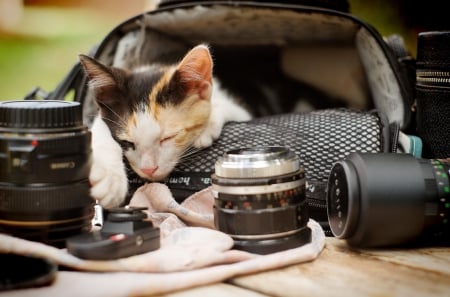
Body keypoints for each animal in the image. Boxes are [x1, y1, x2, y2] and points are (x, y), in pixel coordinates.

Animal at [79, 44, 251, 207]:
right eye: (126, 142)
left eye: (168, 137)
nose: (148, 169)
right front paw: (109, 178)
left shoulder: (241, 111)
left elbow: (224, 106)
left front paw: (206, 128)